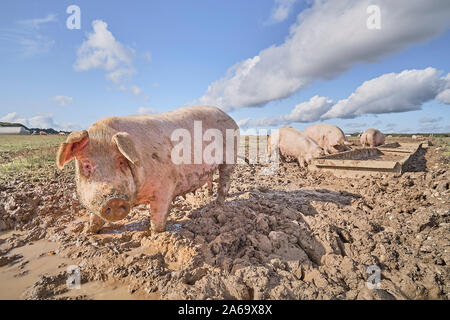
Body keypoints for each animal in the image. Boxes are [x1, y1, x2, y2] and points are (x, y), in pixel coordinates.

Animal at [56, 106, 239, 234]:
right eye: (87, 165)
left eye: (121, 161)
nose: (113, 200)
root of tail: (231, 118)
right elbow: (95, 217)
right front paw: (87, 232)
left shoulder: (166, 185)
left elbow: (158, 217)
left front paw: (155, 234)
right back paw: (208, 197)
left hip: (230, 157)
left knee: (225, 182)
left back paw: (217, 206)